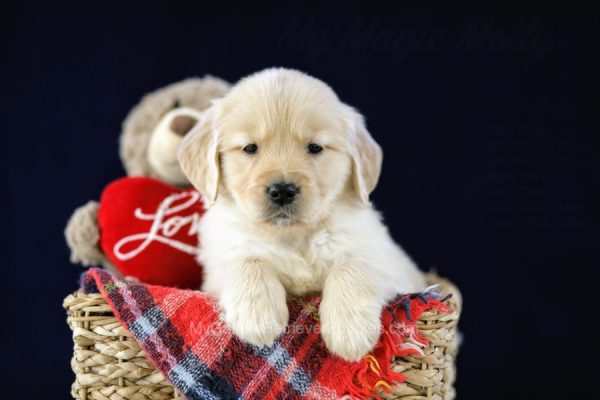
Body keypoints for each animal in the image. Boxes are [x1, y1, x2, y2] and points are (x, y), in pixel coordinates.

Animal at [178, 67, 426, 360]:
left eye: (315, 147)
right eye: (250, 148)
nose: (283, 191)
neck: (293, 235)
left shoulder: (391, 266)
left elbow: (353, 265)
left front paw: (349, 330)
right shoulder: (219, 265)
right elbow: (248, 259)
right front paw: (257, 317)